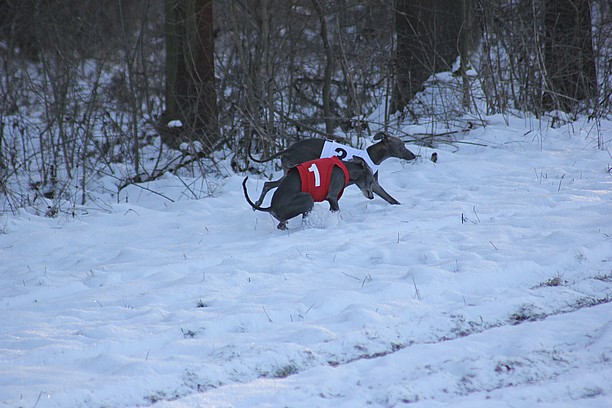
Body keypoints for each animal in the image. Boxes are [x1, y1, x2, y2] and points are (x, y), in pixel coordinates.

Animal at [243, 155, 372, 228]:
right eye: (371, 180)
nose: (372, 197)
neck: (346, 168)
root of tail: (272, 207)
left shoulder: (332, 201)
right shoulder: (332, 197)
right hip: (308, 199)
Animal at [249, 131, 416, 206]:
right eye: (402, 145)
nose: (414, 155)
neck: (371, 155)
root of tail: (290, 148)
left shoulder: (372, 185)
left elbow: (390, 198)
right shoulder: (369, 184)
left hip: (288, 172)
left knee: (268, 184)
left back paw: (257, 203)